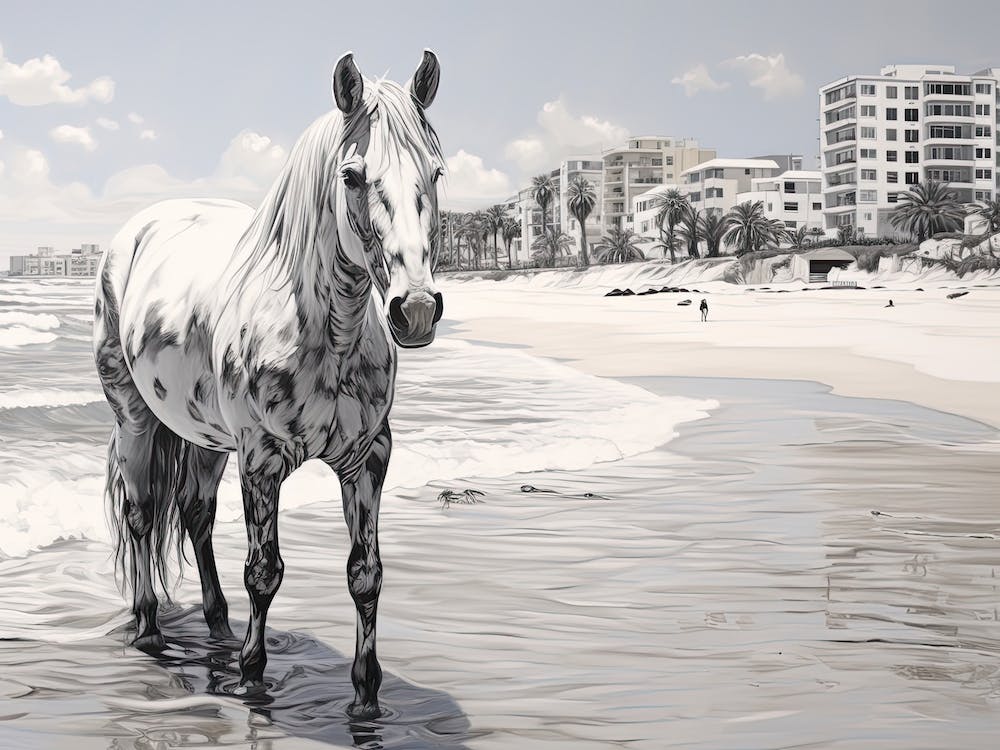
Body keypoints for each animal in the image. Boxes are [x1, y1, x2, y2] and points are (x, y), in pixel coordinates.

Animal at [92, 50, 444, 719]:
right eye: (352, 175)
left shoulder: (369, 458)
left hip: (204, 434)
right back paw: (149, 628)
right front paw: (253, 678)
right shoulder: (261, 458)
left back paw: (218, 624)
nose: (414, 309)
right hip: (135, 417)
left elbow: (365, 574)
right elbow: (265, 570)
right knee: (142, 513)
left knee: (196, 514)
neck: (328, 332)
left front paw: (366, 696)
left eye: (436, 172)